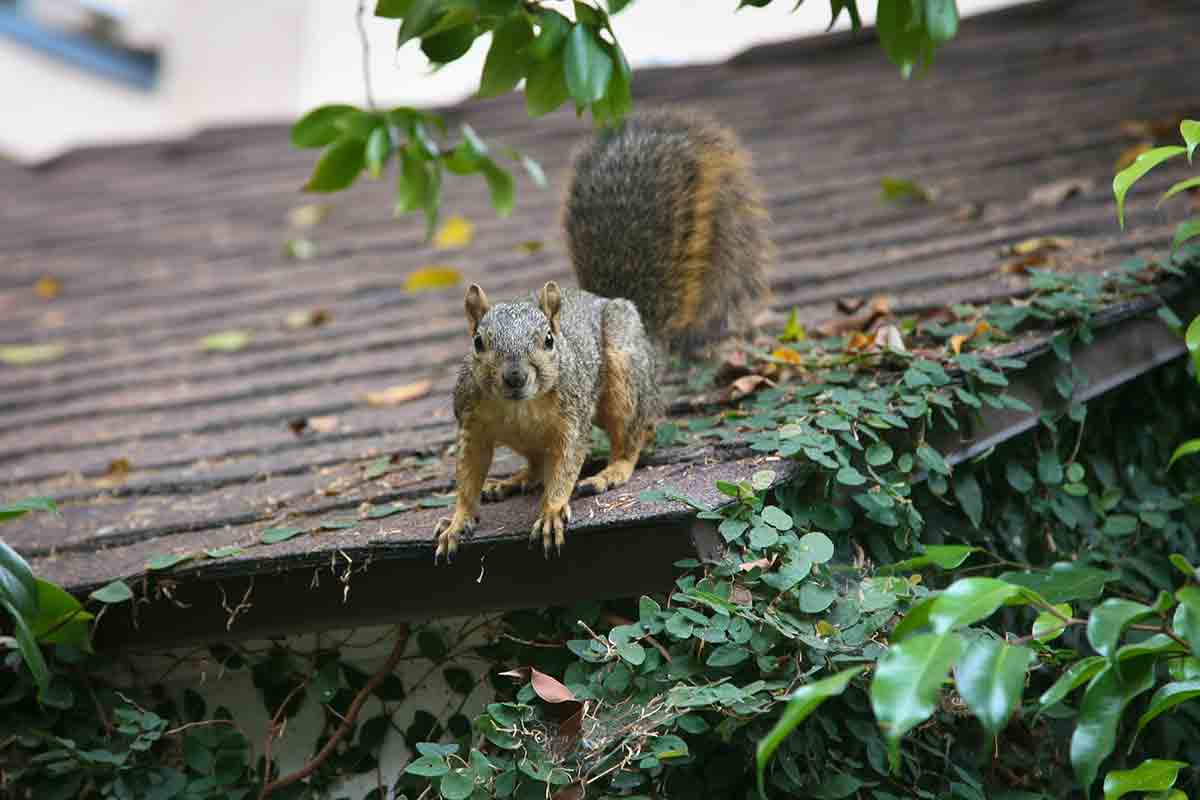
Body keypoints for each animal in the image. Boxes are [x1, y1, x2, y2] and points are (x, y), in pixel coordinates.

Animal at [436, 109, 772, 563]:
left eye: (548, 340)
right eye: (478, 343)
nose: (514, 377)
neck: (518, 407)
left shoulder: (571, 420)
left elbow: (566, 464)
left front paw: (552, 511)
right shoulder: (472, 422)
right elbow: (468, 472)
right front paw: (458, 520)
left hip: (624, 375)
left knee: (630, 437)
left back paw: (611, 472)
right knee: (536, 463)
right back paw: (514, 480)